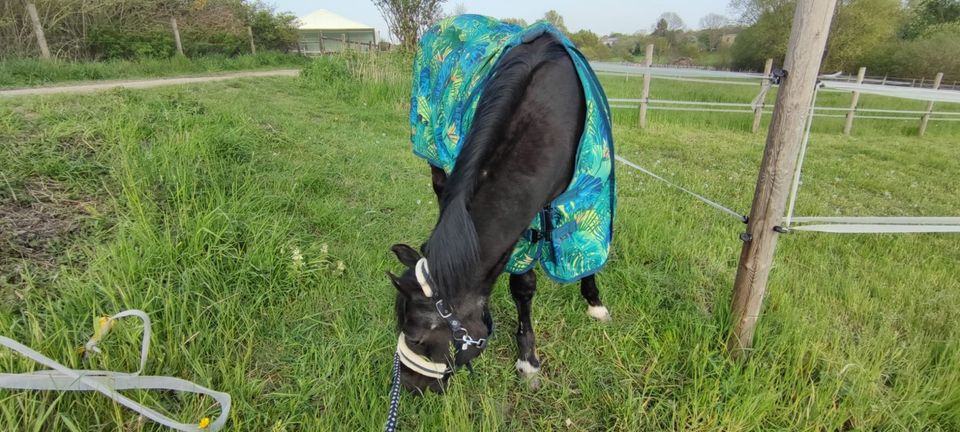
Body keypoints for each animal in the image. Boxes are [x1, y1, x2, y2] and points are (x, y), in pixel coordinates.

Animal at [388, 33, 608, 394]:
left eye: (416, 338)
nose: (408, 385)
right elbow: (523, 284)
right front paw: (529, 357)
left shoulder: (590, 196)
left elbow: (574, 261)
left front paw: (592, 307)